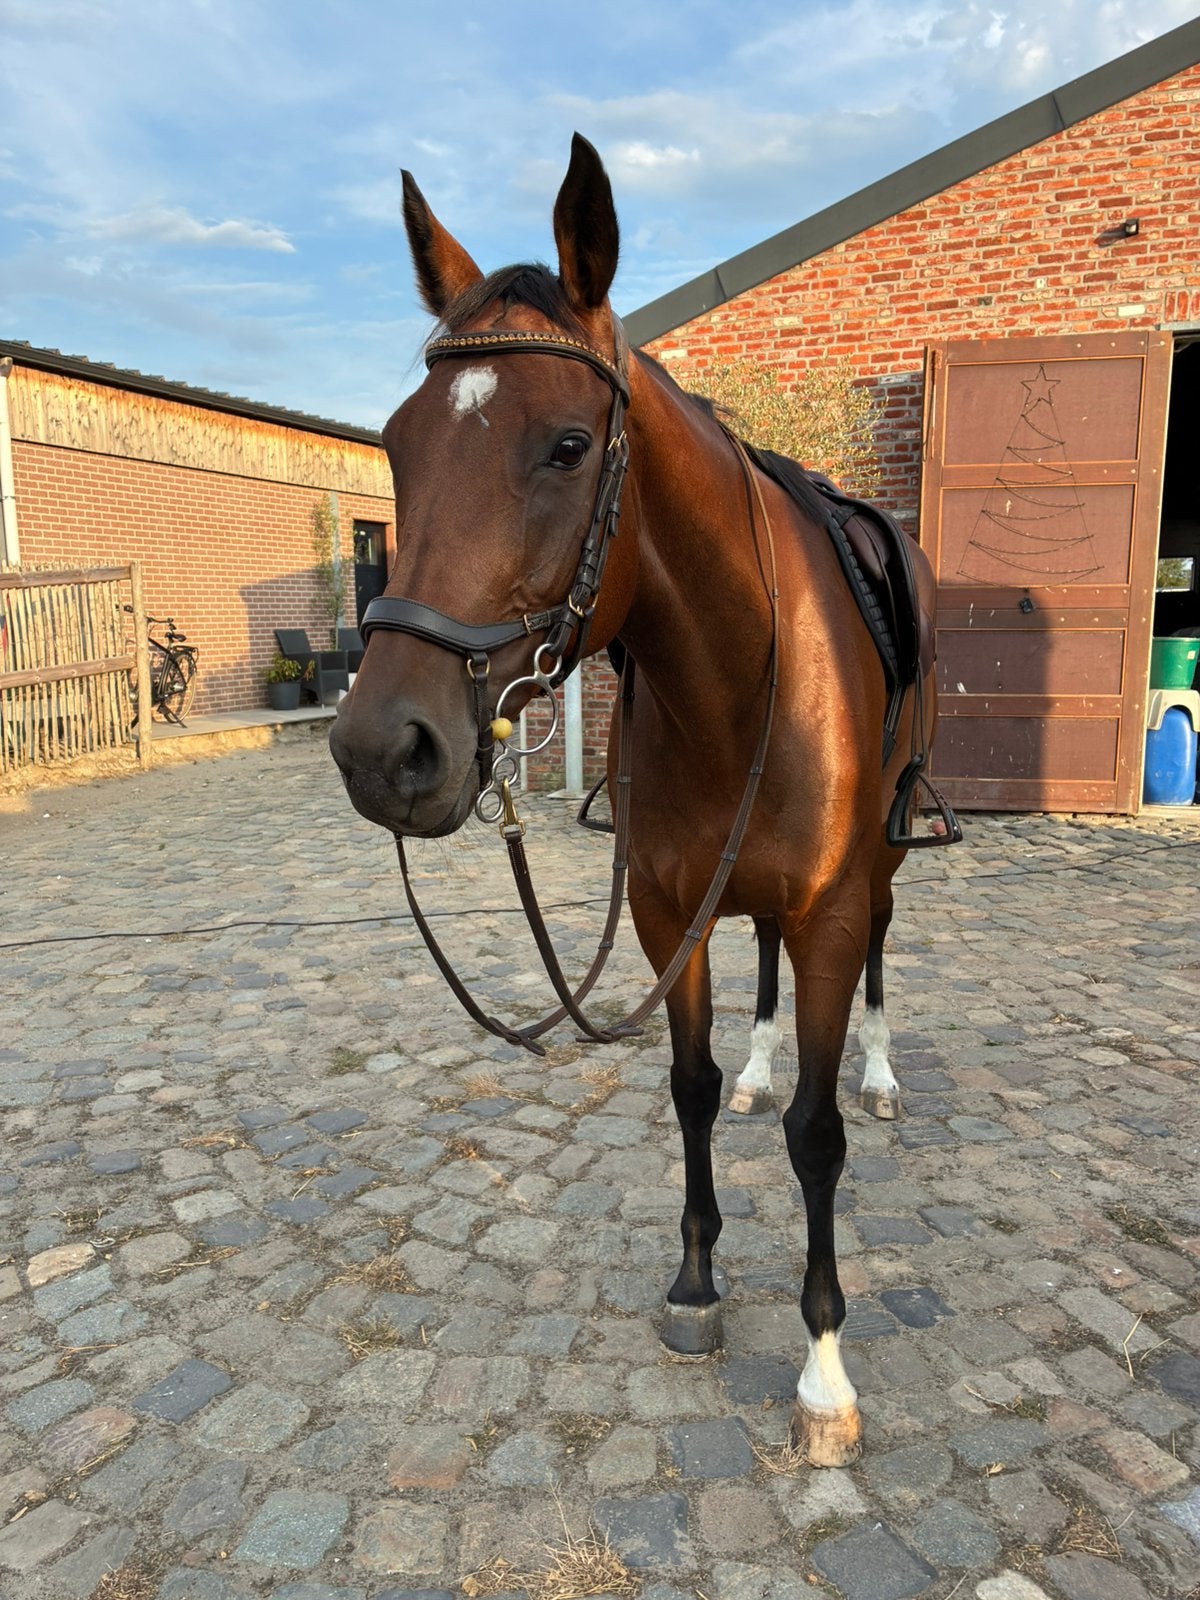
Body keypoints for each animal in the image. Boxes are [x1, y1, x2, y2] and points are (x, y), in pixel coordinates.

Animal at [329, 134, 950, 1466]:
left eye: (569, 445)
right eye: (399, 447)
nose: (380, 749)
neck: (737, 673)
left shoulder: (828, 910)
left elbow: (816, 1135)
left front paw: (824, 1369)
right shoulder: (672, 911)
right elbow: (693, 1089)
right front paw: (697, 1281)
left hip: (879, 869)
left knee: (879, 955)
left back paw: (877, 1072)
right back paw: (770, 1060)